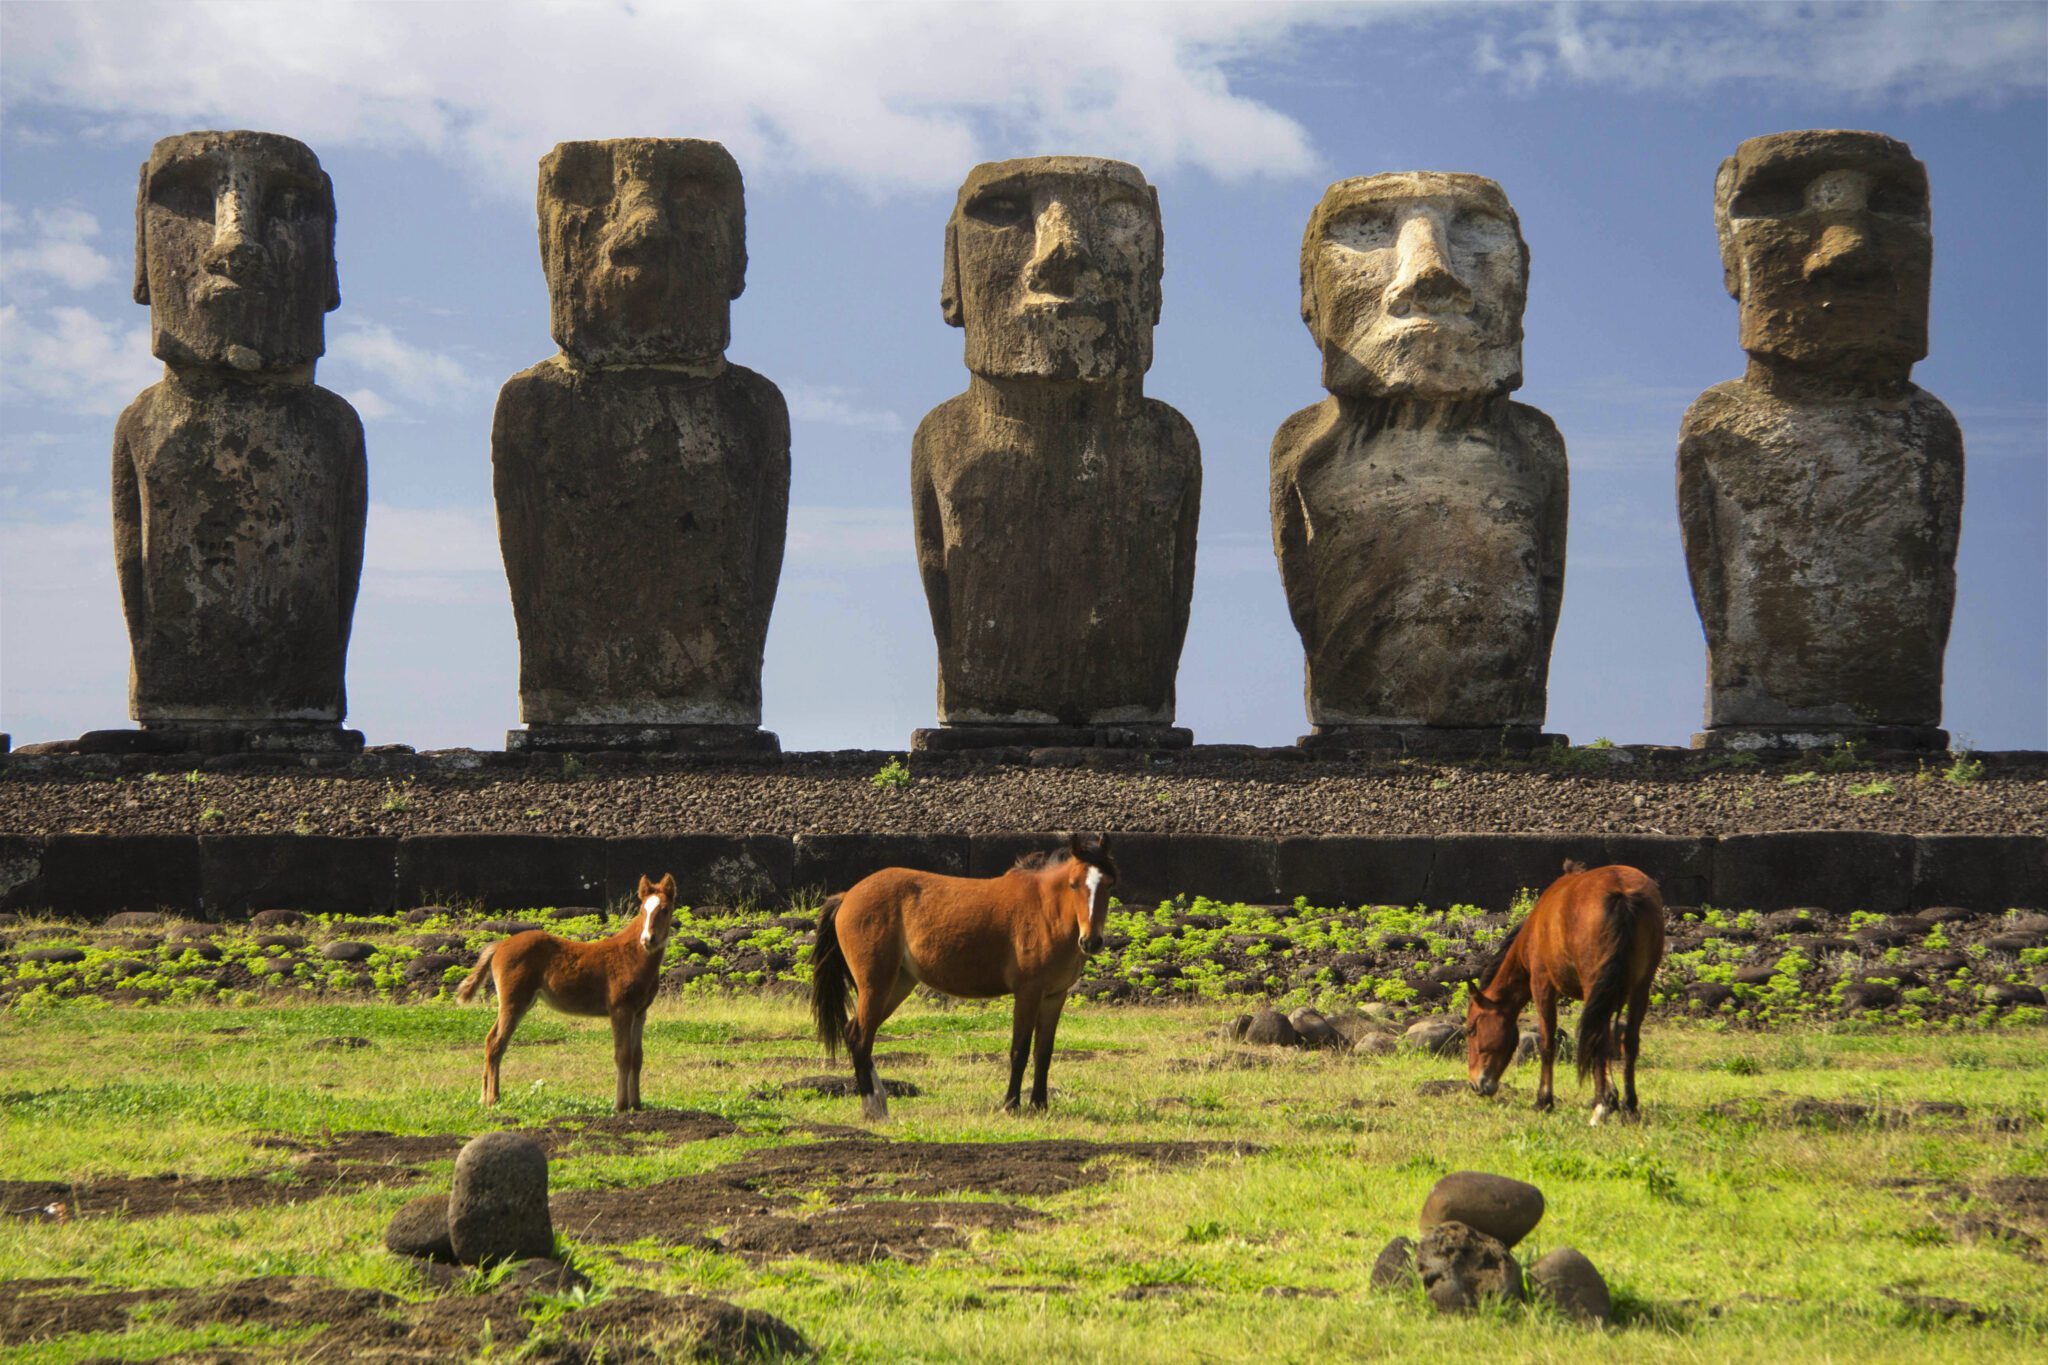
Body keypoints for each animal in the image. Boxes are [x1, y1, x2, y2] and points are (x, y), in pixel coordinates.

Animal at [455, 873, 677, 1111]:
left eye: (665, 909)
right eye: (643, 910)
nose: (648, 939)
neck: (632, 955)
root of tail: (500, 945)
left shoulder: (640, 1012)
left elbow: (637, 1057)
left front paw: (636, 1104)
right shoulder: (620, 1009)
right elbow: (622, 1055)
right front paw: (620, 1105)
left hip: (518, 1003)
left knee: (492, 1041)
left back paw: (487, 1097)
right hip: (513, 1002)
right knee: (496, 1043)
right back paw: (491, 1099)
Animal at [810, 833, 1118, 1119]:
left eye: (1108, 884)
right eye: (1074, 884)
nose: (1091, 941)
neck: (1045, 911)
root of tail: (847, 896)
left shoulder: (1054, 996)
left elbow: (1044, 1052)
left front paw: (1040, 1105)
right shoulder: (1028, 993)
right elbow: (1019, 1050)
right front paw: (1011, 1105)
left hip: (898, 984)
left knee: (856, 1033)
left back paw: (879, 1103)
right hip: (875, 984)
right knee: (861, 1038)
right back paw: (875, 1108)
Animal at [1465, 860, 1666, 1124]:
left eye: (1471, 1029)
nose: (1475, 1084)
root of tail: (1622, 893)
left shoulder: (1542, 985)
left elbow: (1547, 1042)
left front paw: (1544, 1100)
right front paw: (1611, 1096)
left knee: (1598, 1039)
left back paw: (1600, 1108)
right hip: (1640, 986)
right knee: (1628, 1040)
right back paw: (1629, 1107)